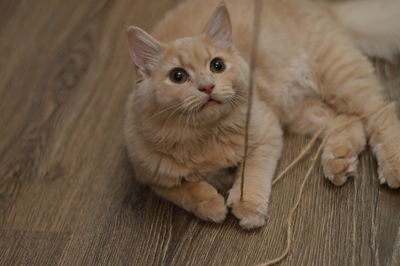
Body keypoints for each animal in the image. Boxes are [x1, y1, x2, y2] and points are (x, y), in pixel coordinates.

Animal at [124, 0, 400, 229]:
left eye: (217, 65)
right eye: (178, 76)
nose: (207, 86)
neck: (206, 137)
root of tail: (320, 6)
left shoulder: (266, 131)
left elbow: (252, 173)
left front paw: (247, 206)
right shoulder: (151, 175)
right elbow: (185, 191)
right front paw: (211, 205)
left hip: (340, 77)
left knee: (380, 113)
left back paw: (392, 166)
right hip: (298, 108)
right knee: (347, 121)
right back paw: (340, 160)